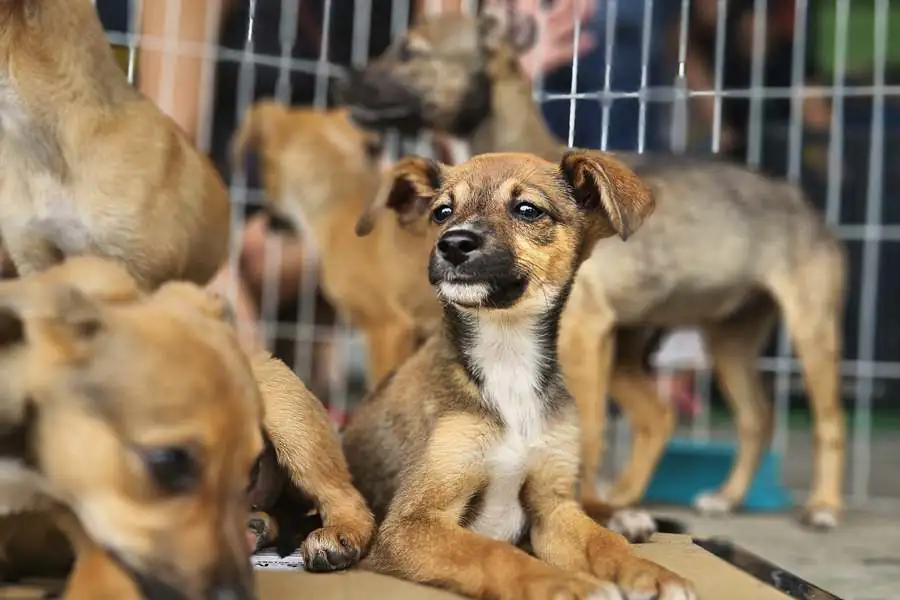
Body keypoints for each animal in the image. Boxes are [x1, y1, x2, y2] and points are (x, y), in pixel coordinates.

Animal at [340, 8, 852, 524]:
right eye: (441, 211)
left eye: (409, 51)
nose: (345, 79)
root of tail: (799, 197)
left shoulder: (585, 333)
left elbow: (589, 430)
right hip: (719, 344)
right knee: (736, 418)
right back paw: (711, 496)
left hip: (809, 329)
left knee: (829, 420)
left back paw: (824, 506)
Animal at [342, 151, 700, 600]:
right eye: (442, 212)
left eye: (527, 210)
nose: (453, 244)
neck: (506, 357)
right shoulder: (412, 521)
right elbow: (494, 553)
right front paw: (564, 585)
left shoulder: (552, 507)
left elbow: (603, 542)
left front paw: (651, 573)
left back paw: (623, 516)